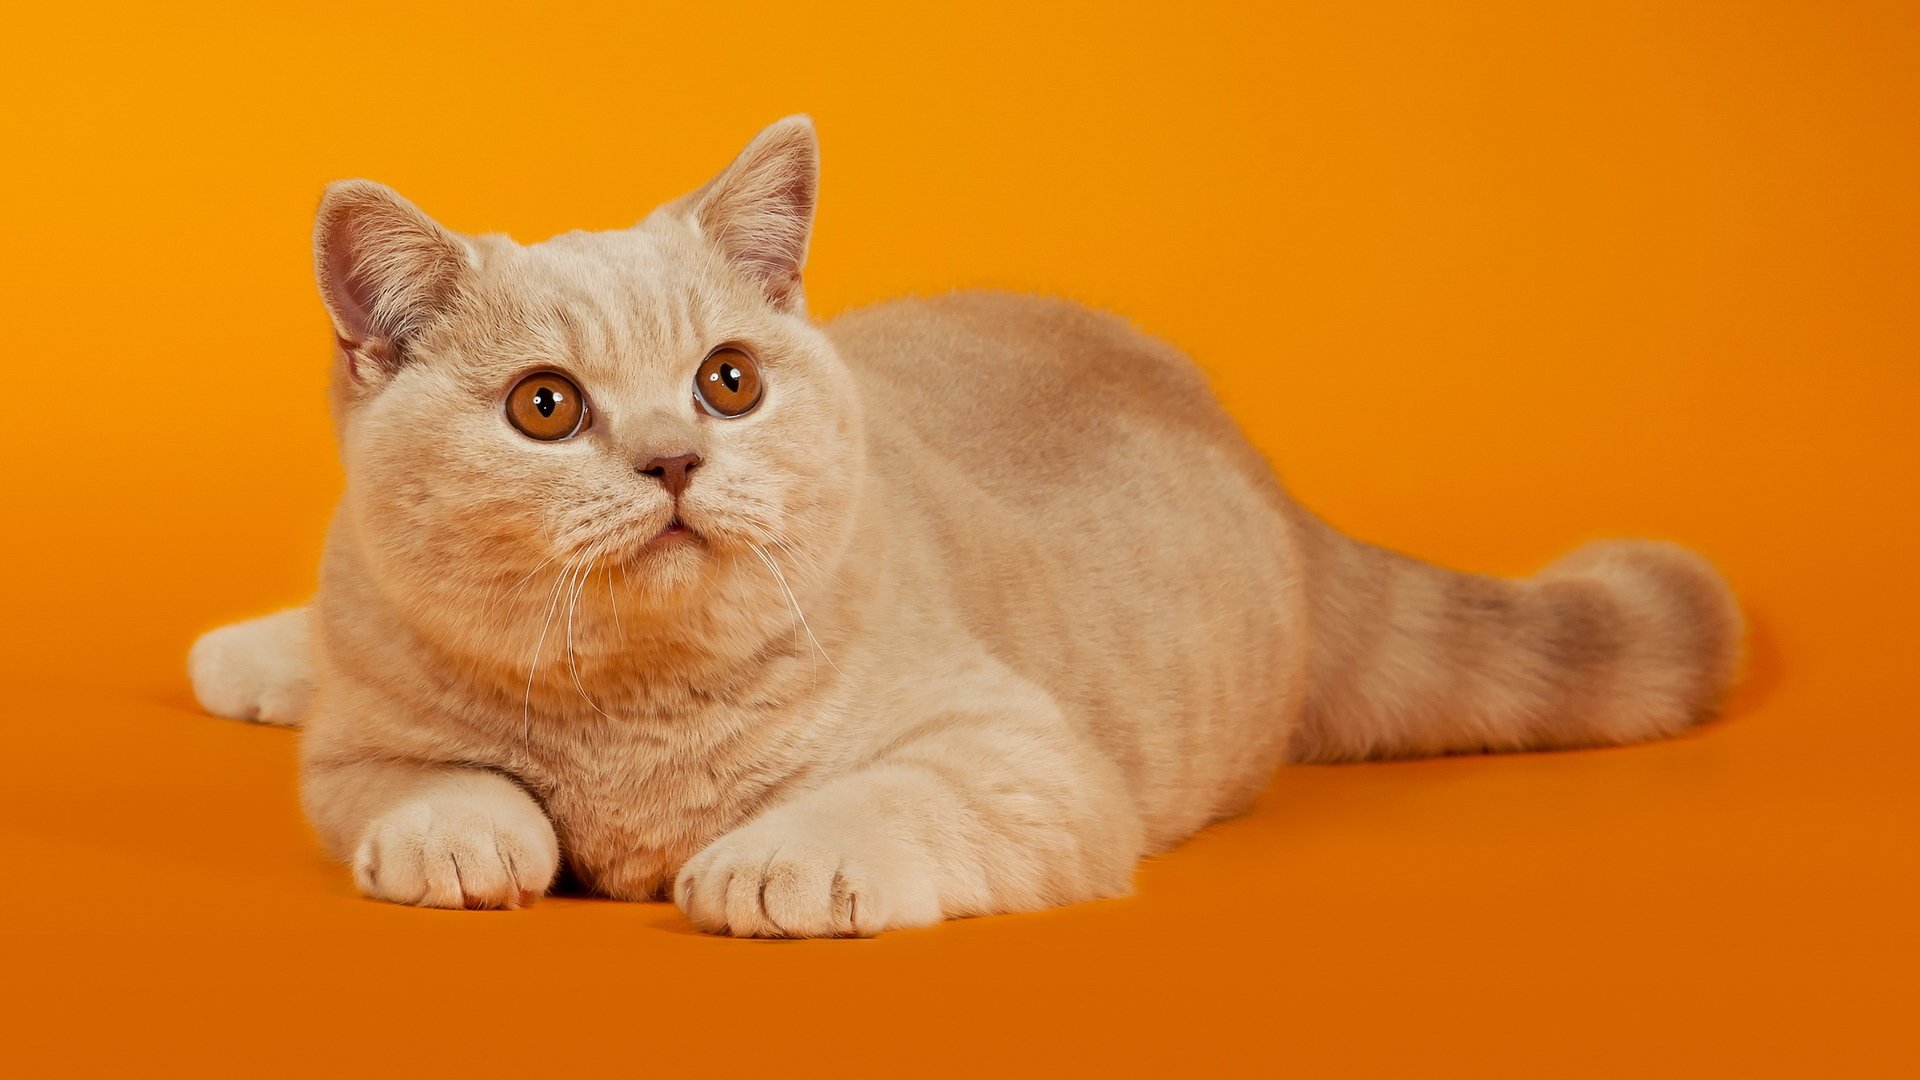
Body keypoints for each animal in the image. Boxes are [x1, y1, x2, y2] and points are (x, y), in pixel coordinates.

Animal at [191, 115, 1743, 933]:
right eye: (546, 407)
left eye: (727, 381)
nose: (676, 460)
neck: (630, 711)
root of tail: (1250, 455)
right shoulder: (364, 743)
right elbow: (428, 780)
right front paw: (464, 833)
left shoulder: (1021, 758)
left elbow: (890, 793)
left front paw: (770, 860)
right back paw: (250, 656)